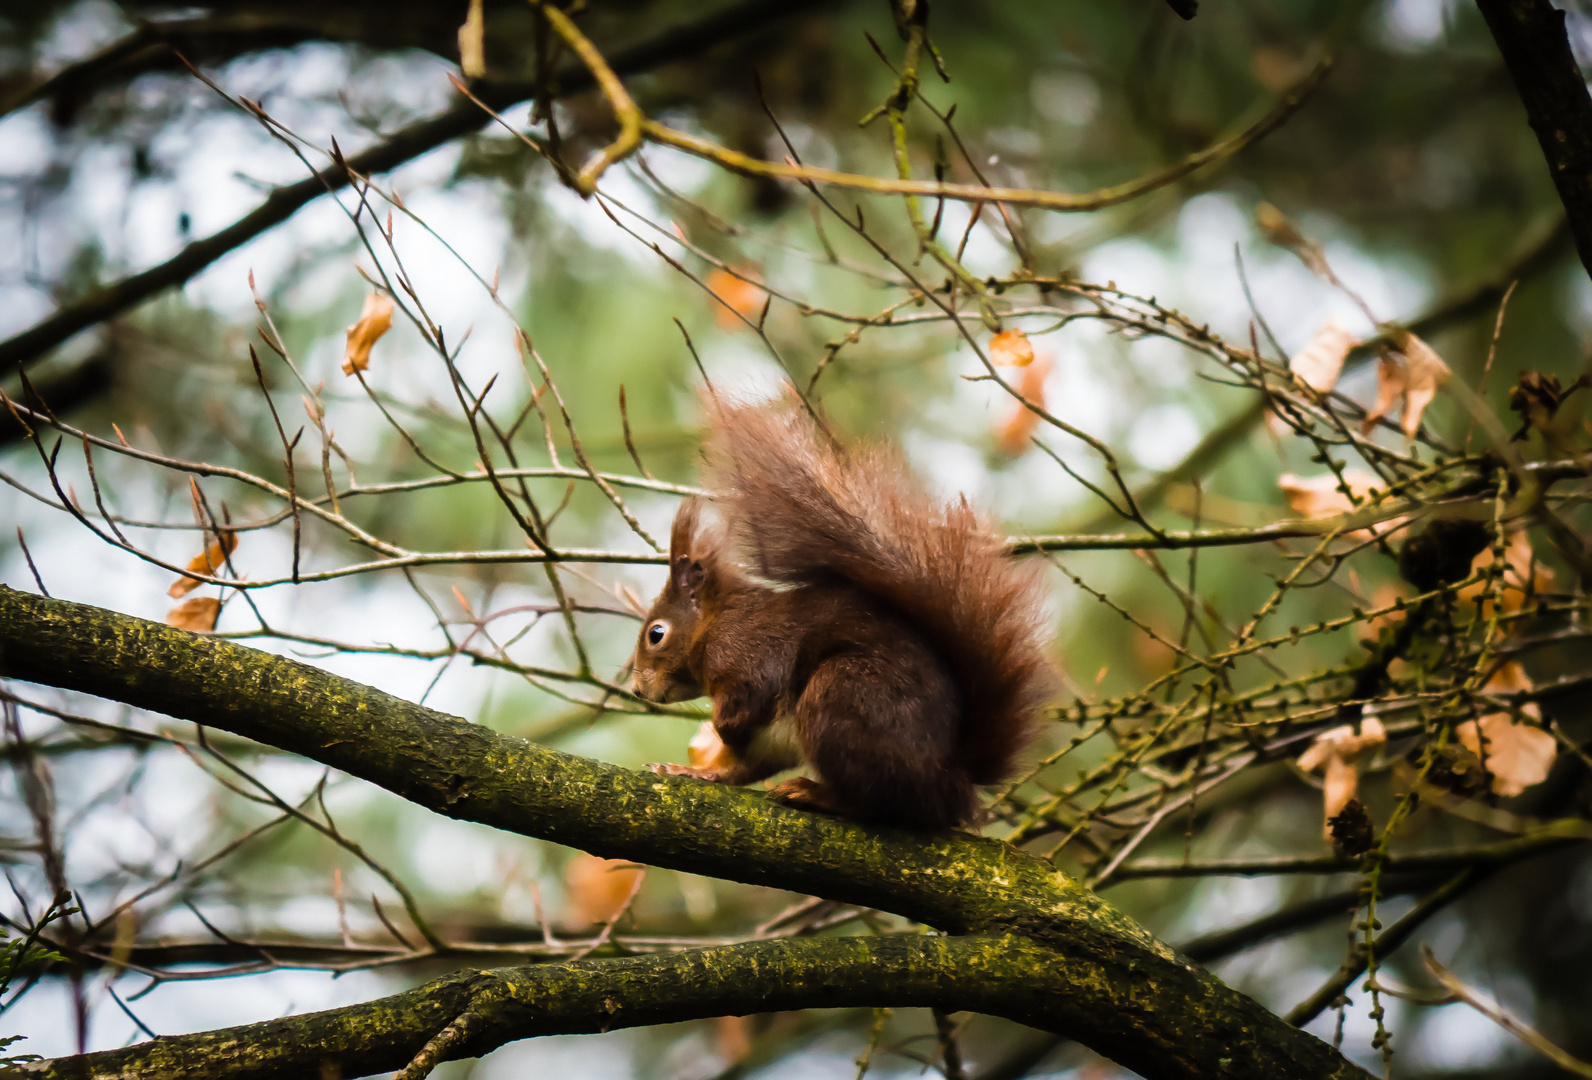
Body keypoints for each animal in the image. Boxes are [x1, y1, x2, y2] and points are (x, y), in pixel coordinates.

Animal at [627, 398, 1050, 828]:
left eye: (656, 634)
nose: (637, 691)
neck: (714, 623)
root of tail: (953, 780)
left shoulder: (747, 650)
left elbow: (751, 692)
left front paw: (722, 724)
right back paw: (701, 772)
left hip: (842, 697)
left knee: (888, 805)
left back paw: (817, 794)